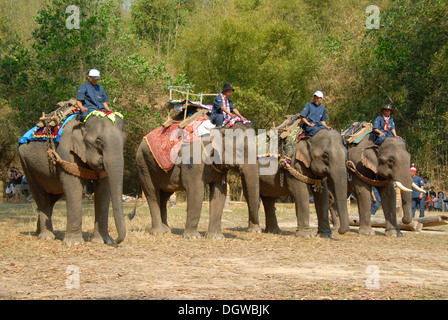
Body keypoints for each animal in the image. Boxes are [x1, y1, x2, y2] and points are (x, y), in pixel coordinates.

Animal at [17, 114, 126, 246]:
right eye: (98, 142)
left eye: (124, 141)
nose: (116, 240)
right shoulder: (65, 151)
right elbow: (74, 187)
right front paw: (74, 243)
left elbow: (104, 190)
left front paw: (103, 241)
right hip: (26, 165)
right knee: (41, 197)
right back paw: (46, 237)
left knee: (51, 199)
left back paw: (38, 233)